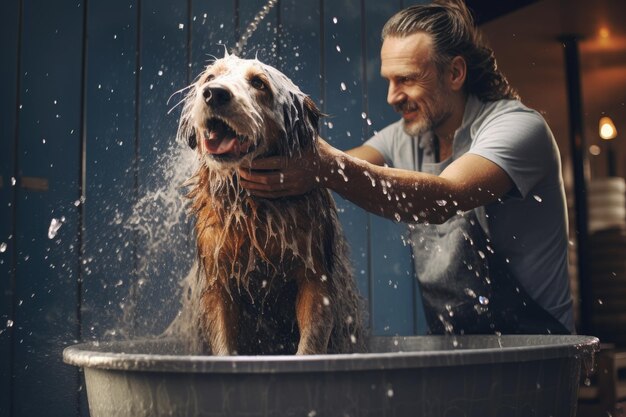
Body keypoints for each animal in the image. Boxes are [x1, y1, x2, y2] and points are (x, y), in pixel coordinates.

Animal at [173, 52, 364, 354]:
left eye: (259, 83)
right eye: (210, 77)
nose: (214, 94)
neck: (253, 207)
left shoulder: (314, 277)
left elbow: (310, 341)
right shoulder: (219, 281)